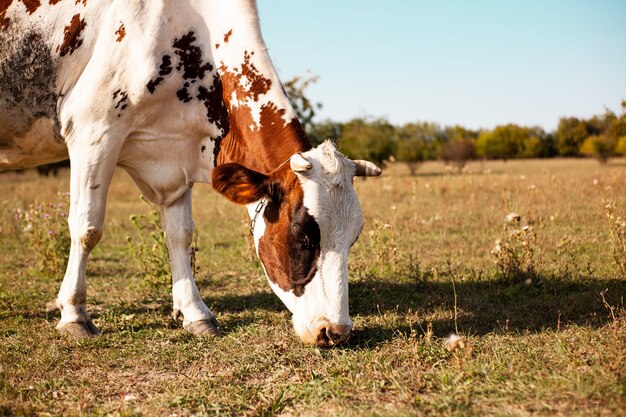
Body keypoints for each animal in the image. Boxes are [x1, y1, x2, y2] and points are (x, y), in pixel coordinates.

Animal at [0, 0, 378, 346]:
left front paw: (196, 313)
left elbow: (179, 235)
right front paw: (75, 315)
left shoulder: (179, 150)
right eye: (303, 236)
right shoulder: (93, 130)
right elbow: (86, 228)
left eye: (353, 238)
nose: (335, 331)